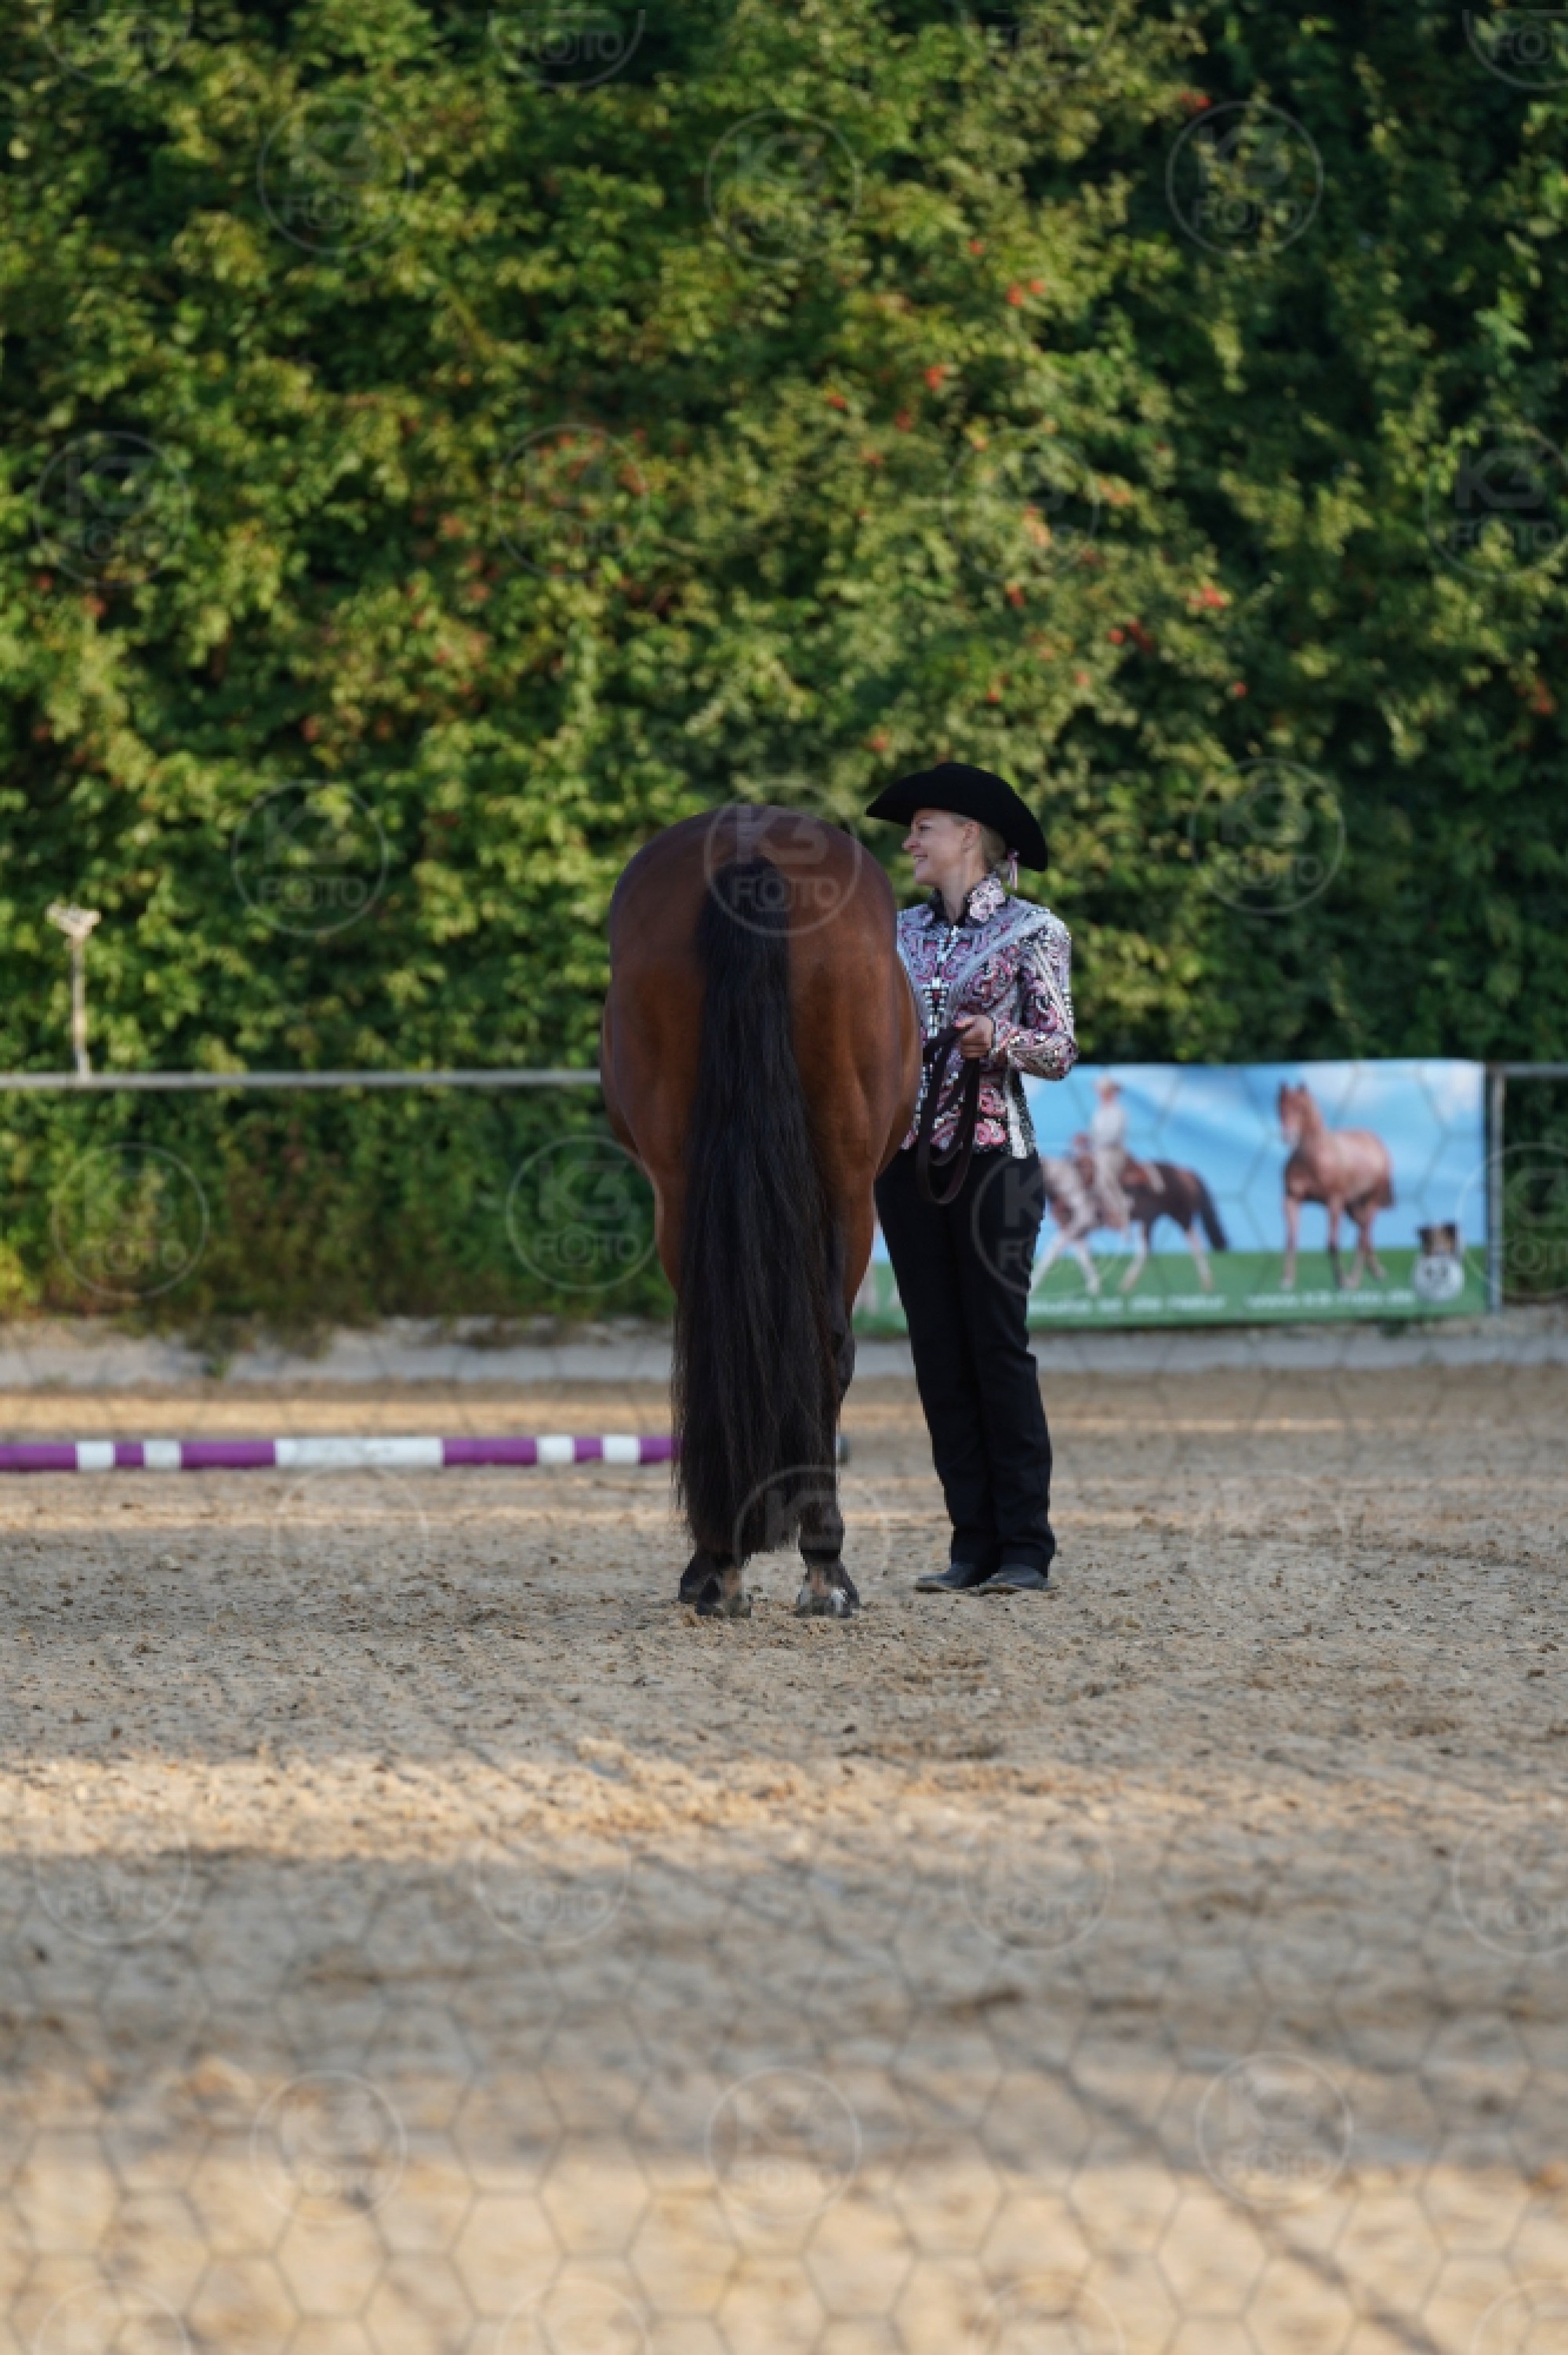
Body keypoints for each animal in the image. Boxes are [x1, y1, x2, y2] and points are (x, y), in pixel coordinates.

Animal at [599, 808, 920, 1620]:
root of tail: (754, 849)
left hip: (694, 1183)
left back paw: (729, 1558)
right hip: (843, 1182)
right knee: (828, 1347)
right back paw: (804, 1562)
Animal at [1033, 1149, 1229, 1295]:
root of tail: (1186, 1172)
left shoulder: (1080, 1223)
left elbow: (1052, 1253)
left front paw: (1034, 1286)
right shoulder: (1073, 1227)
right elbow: (1082, 1256)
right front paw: (1095, 1288)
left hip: (1182, 1217)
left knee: (1196, 1245)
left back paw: (1206, 1282)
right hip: (1149, 1221)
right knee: (1145, 1250)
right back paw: (1127, 1284)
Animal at [1278, 1080, 1393, 1290]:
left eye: (1302, 1109)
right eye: (1281, 1108)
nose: (1288, 1137)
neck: (1314, 1160)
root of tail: (1377, 1143)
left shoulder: (1334, 1202)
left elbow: (1332, 1244)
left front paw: (1342, 1281)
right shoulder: (1291, 1199)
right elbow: (1291, 1239)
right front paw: (1287, 1280)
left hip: (1370, 1201)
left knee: (1363, 1235)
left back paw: (1355, 1279)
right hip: (1352, 1205)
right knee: (1364, 1230)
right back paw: (1376, 1270)